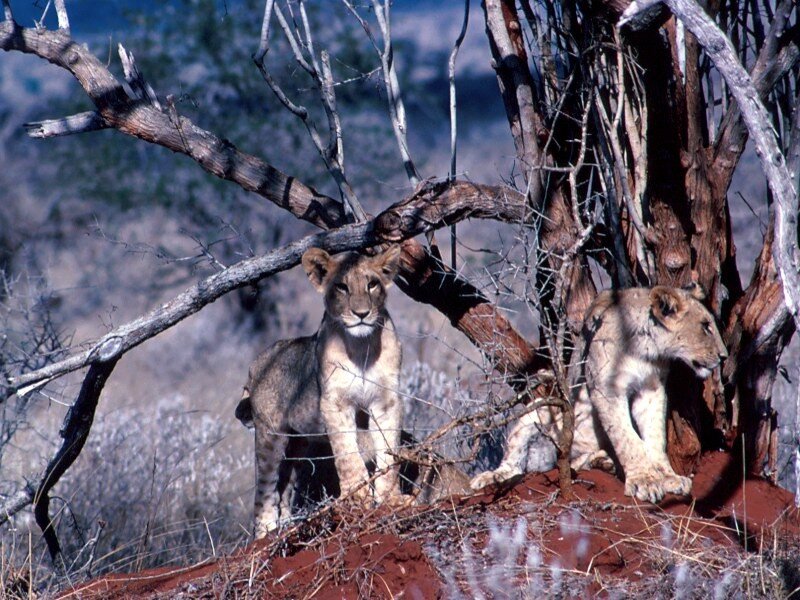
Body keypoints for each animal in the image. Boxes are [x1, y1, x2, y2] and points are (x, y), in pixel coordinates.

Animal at [236, 246, 404, 537]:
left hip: (298, 443)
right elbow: (348, 455)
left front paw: (389, 499)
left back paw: (287, 525)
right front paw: (357, 499)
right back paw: (266, 532)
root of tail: (257, 362)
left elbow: (388, 451)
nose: (362, 314)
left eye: (372, 284)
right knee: (265, 488)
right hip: (270, 436)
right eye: (341, 287)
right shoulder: (335, 403)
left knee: (284, 487)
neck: (361, 347)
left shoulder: (386, 401)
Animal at [471, 284, 728, 504]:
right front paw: (644, 481)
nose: (724, 356)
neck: (645, 351)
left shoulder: (651, 389)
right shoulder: (607, 389)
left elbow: (655, 437)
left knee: (576, 463)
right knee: (514, 464)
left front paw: (668, 477)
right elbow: (627, 438)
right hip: (543, 409)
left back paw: (602, 461)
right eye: (705, 326)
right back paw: (487, 478)